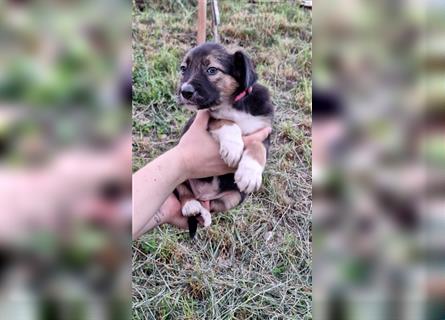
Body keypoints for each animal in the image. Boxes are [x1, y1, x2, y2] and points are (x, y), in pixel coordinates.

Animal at [174, 43, 274, 238]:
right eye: (183, 69)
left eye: (212, 70)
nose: (184, 91)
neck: (233, 103)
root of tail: (204, 194)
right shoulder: (209, 117)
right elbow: (226, 121)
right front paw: (233, 149)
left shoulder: (264, 131)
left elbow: (257, 147)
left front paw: (249, 174)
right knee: (184, 192)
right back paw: (191, 206)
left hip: (236, 197)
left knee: (212, 207)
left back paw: (203, 213)